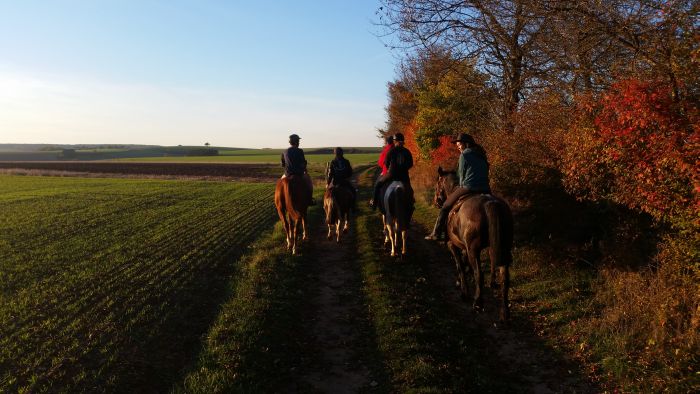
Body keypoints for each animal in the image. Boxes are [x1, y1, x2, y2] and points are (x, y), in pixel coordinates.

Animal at [432, 166, 516, 320]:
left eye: (437, 185)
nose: (437, 202)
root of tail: (490, 203)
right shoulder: (465, 247)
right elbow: (465, 264)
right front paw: (460, 281)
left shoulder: (453, 245)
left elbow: (460, 265)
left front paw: (463, 291)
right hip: (503, 248)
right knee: (504, 277)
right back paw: (504, 313)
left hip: (474, 250)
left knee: (479, 274)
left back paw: (477, 303)